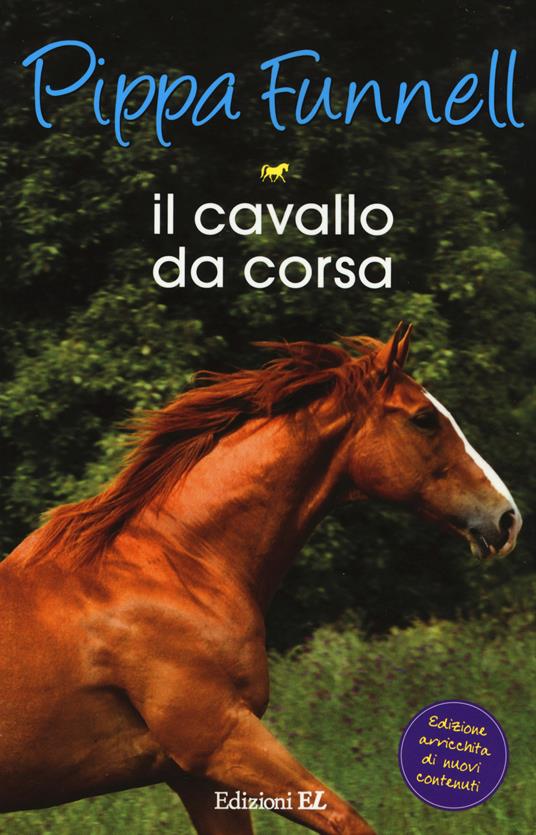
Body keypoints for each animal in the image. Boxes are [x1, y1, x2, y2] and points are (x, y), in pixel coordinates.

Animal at [0, 323, 521, 835]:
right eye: (423, 418)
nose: (508, 518)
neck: (176, 567)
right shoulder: (221, 739)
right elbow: (348, 820)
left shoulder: (196, 777)